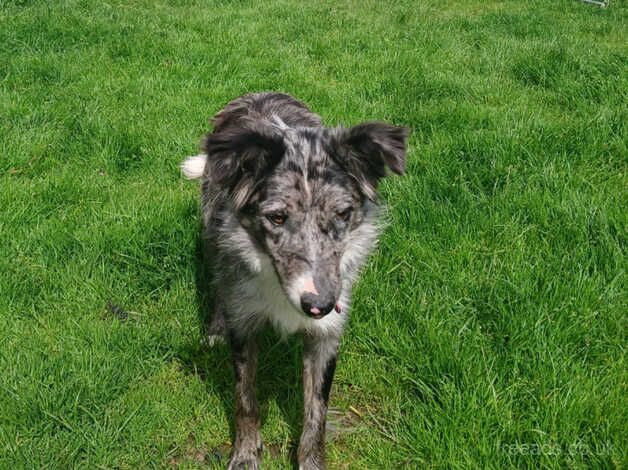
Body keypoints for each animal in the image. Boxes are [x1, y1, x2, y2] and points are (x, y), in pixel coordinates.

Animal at [180, 92, 408, 470]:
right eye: (276, 217)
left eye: (343, 214)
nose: (319, 305)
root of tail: (257, 93)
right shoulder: (244, 323)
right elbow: (246, 399)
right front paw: (245, 455)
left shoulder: (326, 335)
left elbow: (317, 412)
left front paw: (310, 461)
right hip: (211, 230)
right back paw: (215, 328)